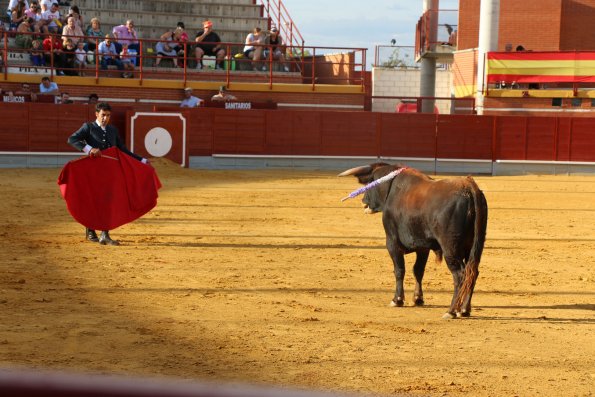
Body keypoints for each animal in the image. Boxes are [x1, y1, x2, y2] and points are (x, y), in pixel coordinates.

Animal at [340, 162, 488, 318]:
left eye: (370, 182)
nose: (363, 201)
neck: (392, 190)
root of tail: (470, 187)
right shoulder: (423, 247)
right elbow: (418, 270)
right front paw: (418, 298)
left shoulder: (392, 243)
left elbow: (399, 270)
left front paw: (397, 300)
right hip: (473, 247)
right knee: (472, 273)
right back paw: (464, 310)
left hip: (450, 248)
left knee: (460, 275)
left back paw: (451, 311)